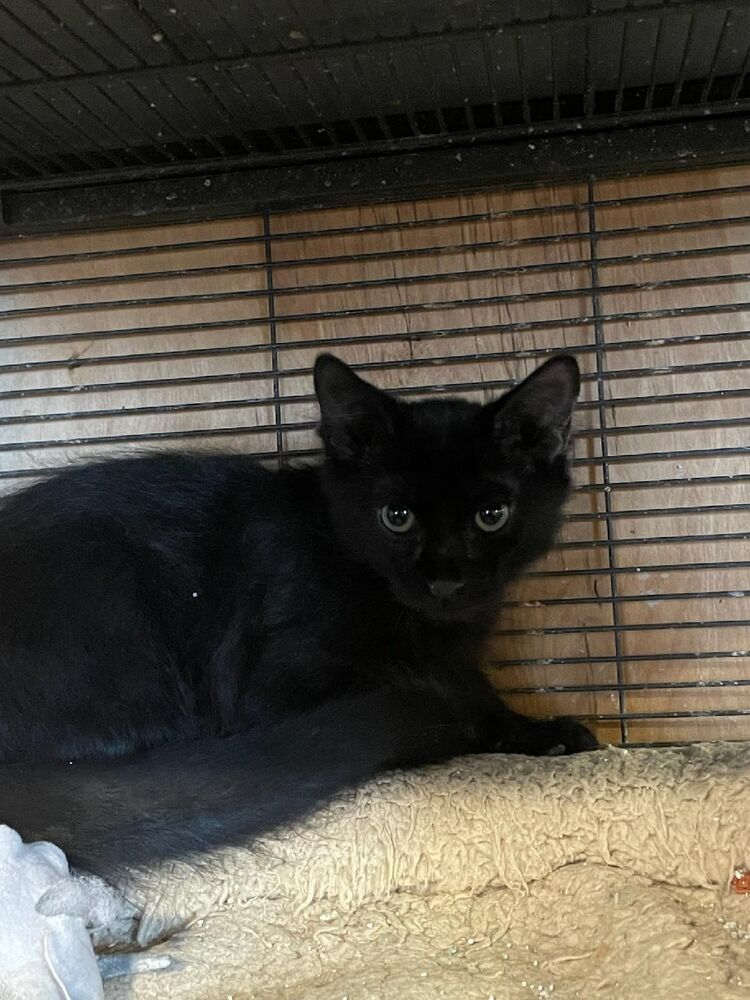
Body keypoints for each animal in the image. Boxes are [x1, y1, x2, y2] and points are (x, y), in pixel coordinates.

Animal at [0, 354, 600, 876]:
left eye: (492, 514)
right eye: (397, 516)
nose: (445, 579)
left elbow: (474, 688)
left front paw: (536, 729)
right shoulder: (275, 684)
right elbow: (439, 694)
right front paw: (494, 729)